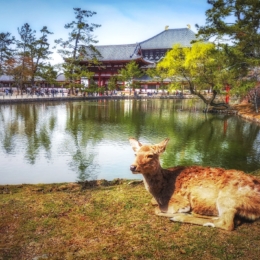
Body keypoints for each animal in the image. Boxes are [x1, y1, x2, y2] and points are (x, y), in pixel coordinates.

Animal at [129, 137, 260, 231]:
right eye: (135, 154)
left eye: (150, 155)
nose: (132, 167)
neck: (161, 190)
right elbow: (153, 202)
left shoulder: (181, 201)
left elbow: (157, 209)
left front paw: (176, 212)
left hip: (227, 197)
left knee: (226, 223)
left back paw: (179, 217)